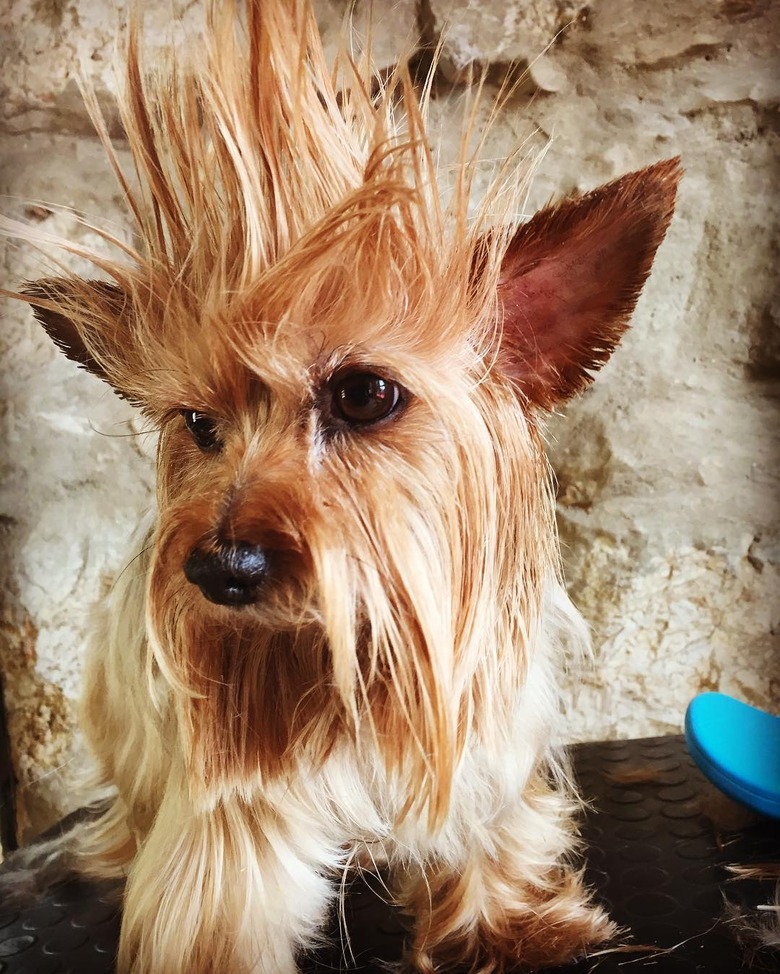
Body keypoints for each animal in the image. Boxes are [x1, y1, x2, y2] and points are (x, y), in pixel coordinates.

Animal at [0, 1, 680, 974]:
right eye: (198, 423)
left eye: (363, 394)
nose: (220, 570)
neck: (345, 654)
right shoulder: (226, 829)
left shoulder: (484, 752)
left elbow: (490, 837)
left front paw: (511, 921)